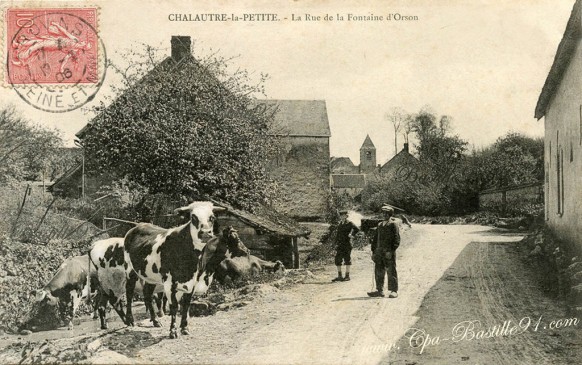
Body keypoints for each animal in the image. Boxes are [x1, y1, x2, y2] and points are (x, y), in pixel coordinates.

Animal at [124, 200, 225, 336]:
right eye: (193, 217)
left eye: (212, 217)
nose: (205, 233)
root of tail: (137, 226)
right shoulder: (169, 282)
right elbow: (174, 306)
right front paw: (173, 330)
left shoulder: (192, 281)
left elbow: (186, 305)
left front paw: (184, 328)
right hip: (130, 270)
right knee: (129, 293)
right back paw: (129, 320)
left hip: (150, 275)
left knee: (147, 295)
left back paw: (155, 321)